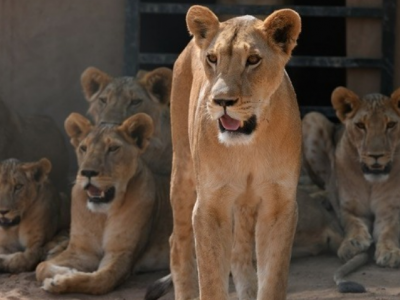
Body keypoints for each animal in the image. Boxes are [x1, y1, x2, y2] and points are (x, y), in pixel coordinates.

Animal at [35, 112, 171, 296]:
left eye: (113, 148)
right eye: (83, 148)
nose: (87, 172)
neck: (102, 214)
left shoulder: (122, 253)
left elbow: (100, 280)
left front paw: (63, 280)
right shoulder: (82, 251)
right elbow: (40, 267)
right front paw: (65, 270)